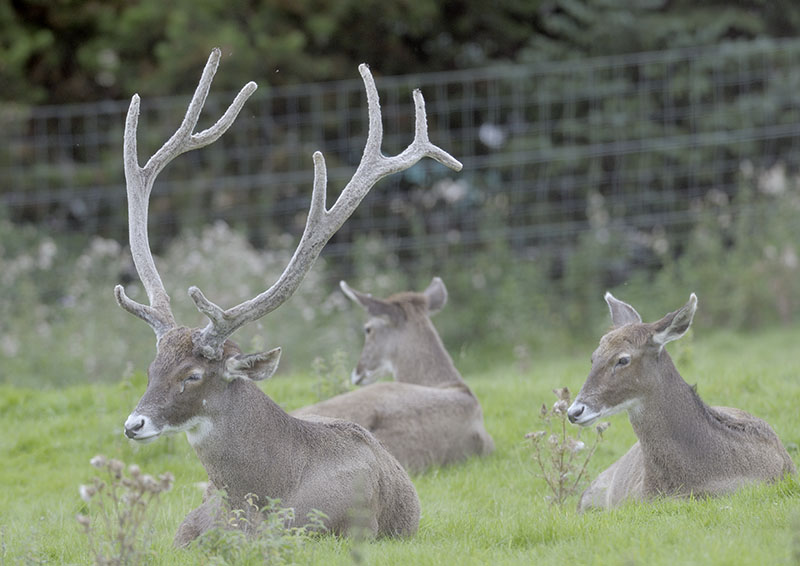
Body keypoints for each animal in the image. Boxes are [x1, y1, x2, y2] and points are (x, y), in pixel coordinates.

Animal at [115, 48, 463, 546]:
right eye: (151, 368)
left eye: (193, 375)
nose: (133, 424)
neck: (264, 496)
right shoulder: (187, 531)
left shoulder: (348, 529)